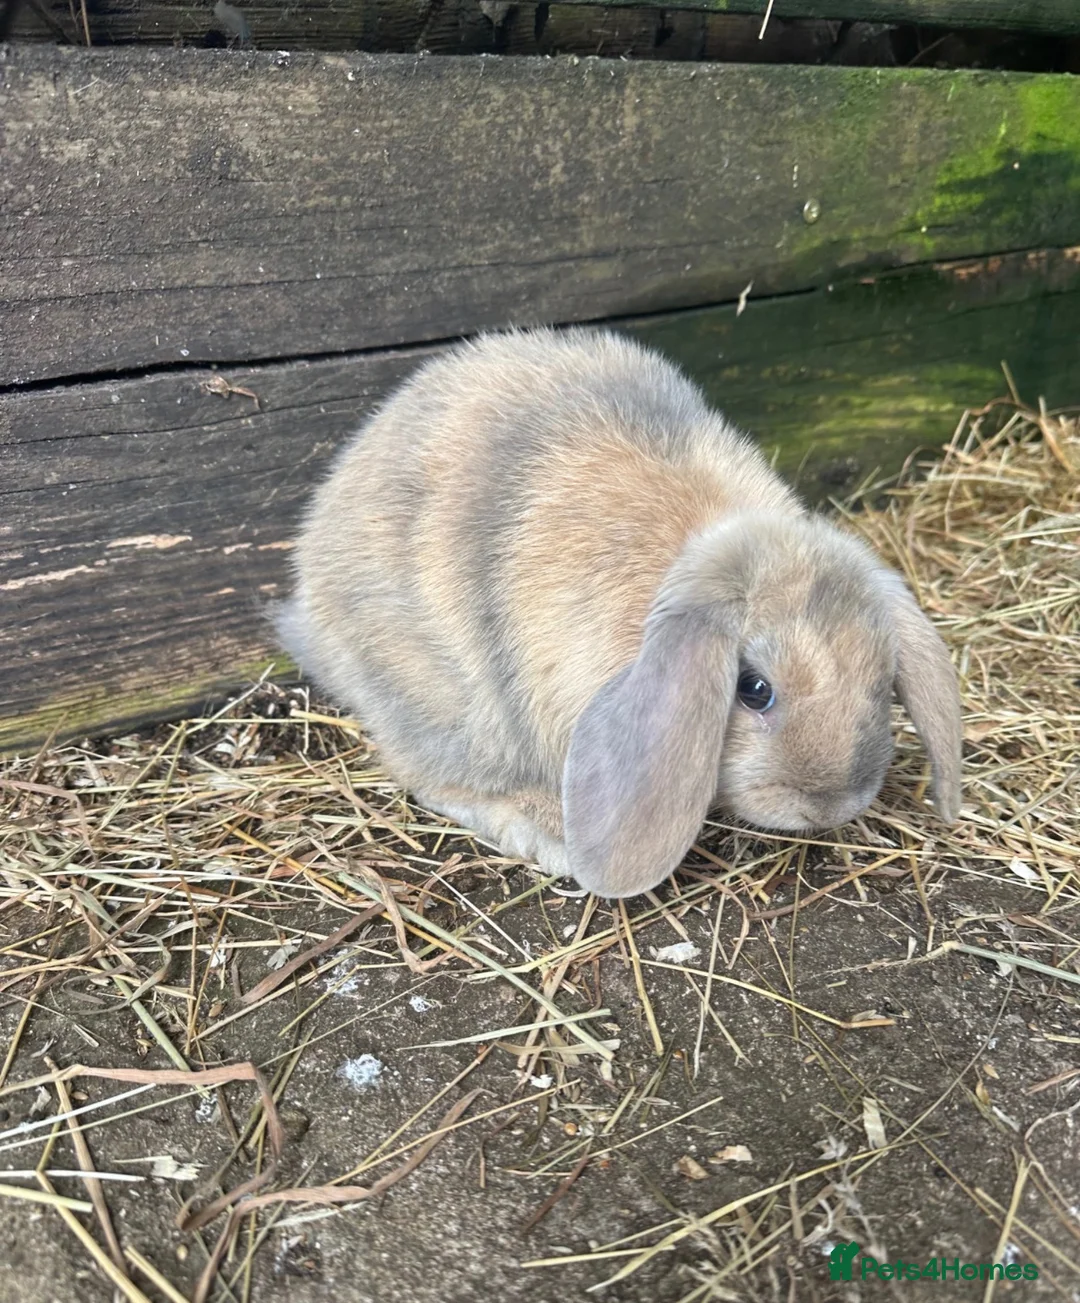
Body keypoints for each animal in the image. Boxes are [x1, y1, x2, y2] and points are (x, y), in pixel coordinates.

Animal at [277, 328, 962, 899]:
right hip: (449, 708)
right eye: (754, 689)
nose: (832, 806)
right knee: (431, 776)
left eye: (882, 680)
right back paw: (546, 831)